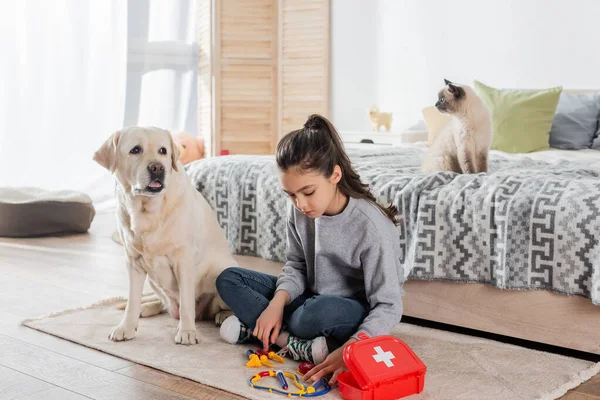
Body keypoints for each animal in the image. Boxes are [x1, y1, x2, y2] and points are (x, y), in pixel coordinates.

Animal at [94, 127, 237, 344]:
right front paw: (126, 327)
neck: (147, 211)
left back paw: (222, 316)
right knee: (162, 304)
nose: (157, 168)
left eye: (163, 151)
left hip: (223, 270)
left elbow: (186, 302)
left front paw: (187, 332)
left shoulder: (183, 260)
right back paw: (146, 308)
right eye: (135, 150)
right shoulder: (133, 262)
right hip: (154, 282)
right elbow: (132, 300)